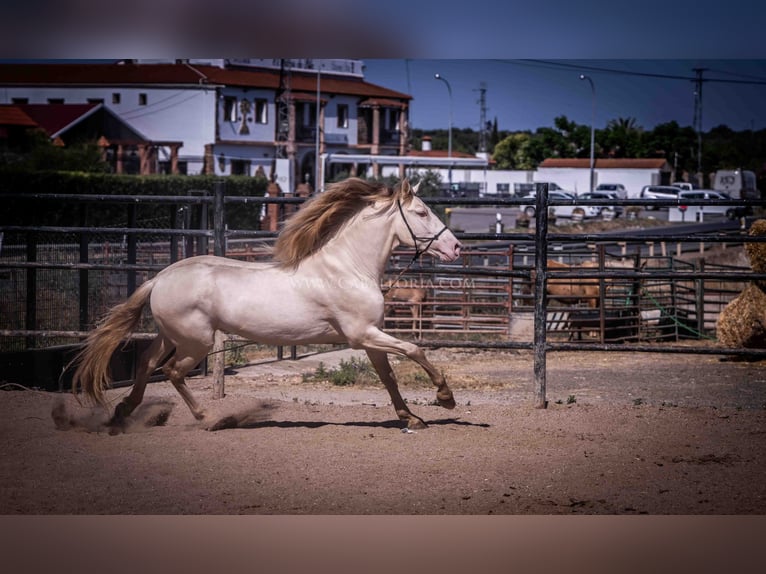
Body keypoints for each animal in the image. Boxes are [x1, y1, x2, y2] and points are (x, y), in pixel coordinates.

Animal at [73, 179, 462, 432]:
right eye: (422, 212)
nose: (456, 248)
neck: (348, 267)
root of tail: (161, 278)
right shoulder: (362, 334)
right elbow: (414, 350)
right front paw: (445, 397)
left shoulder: (370, 339)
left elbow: (389, 377)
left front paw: (411, 418)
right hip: (195, 342)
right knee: (173, 373)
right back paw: (211, 420)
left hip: (172, 337)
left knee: (147, 362)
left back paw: (122, 413)